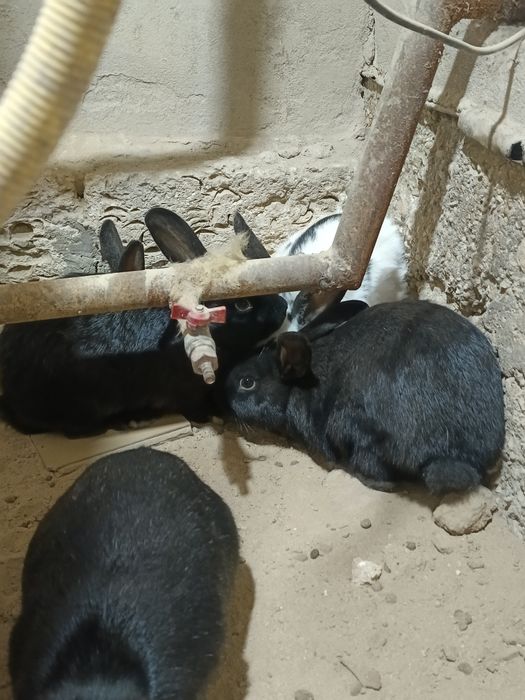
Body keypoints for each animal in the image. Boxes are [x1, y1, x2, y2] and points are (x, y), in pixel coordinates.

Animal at [0, 209, 287, 436]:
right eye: (243, 304)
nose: (283, 308)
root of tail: (10, 399)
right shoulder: (186, 389)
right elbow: (194, 408)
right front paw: (213, 417)